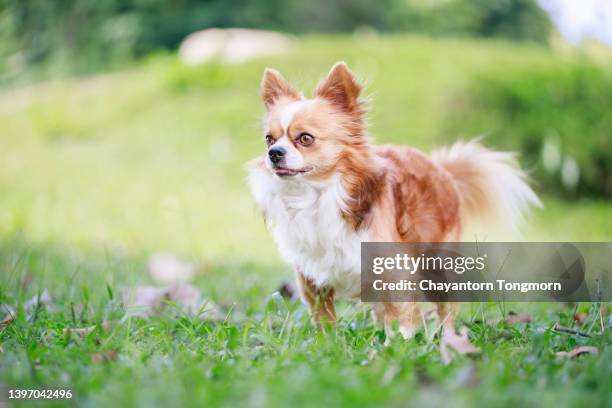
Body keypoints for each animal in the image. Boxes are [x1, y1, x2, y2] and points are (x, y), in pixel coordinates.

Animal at [246, 62, 536, 358]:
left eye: (305, 139)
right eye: (269, 139)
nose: (274, 153)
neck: (315, 196)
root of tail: (441, 169)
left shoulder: (393, 271)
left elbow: (400, 317)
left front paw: (396, 349)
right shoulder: (314, 280)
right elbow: (325, 320)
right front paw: (328, 348)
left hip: (438, 266)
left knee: (446, 309)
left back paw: (448, 339)